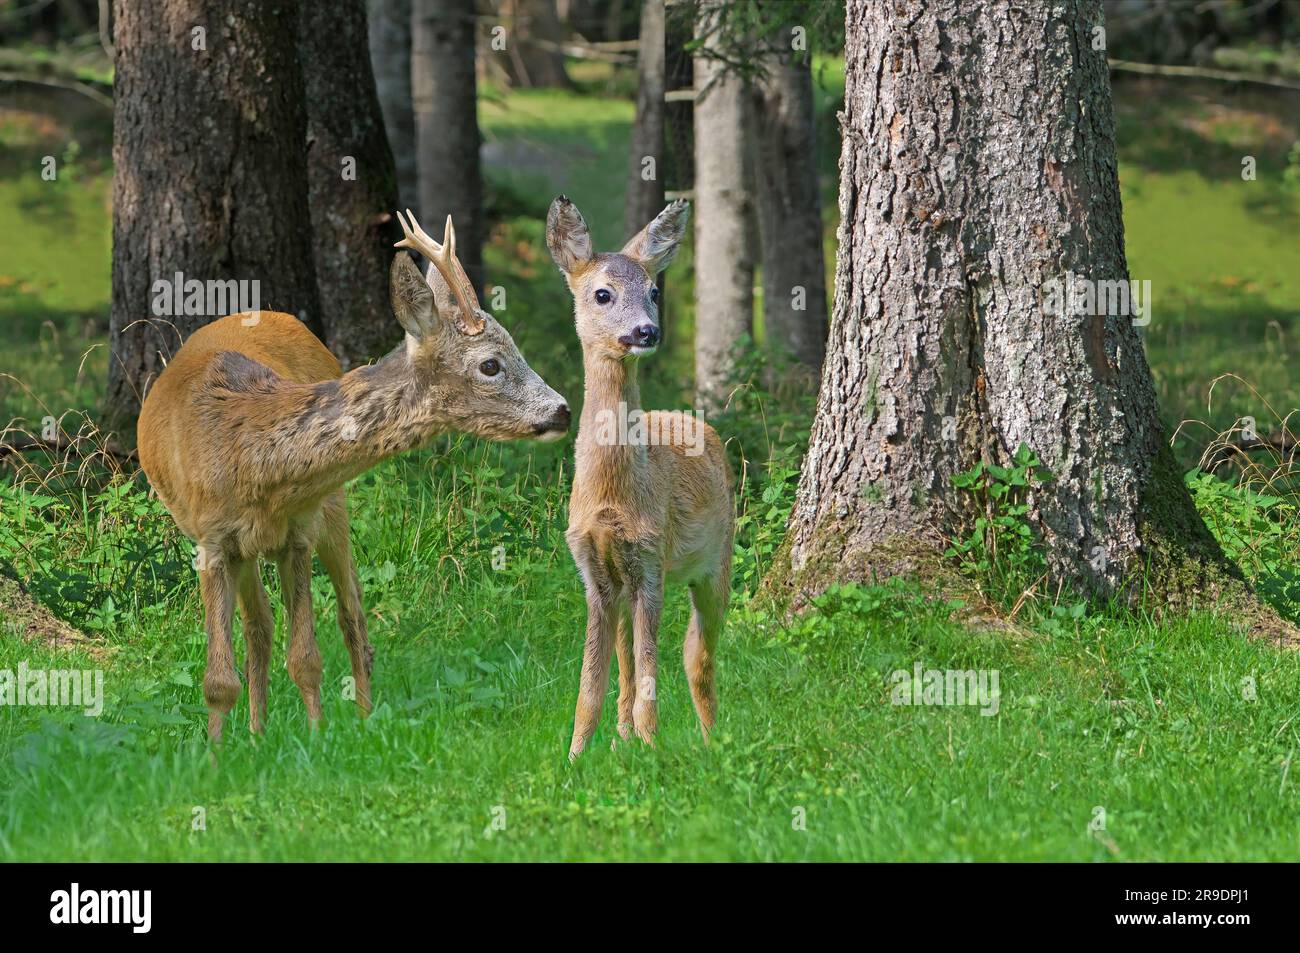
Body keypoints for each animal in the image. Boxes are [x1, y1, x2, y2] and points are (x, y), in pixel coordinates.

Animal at [137, 211, 570, 742]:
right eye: (490, 364)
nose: (563, 410)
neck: (251, 461)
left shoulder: (298, 530)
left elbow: (305, 658)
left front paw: (318, 738)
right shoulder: (212, 540)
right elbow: (219, 679)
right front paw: (216, 753)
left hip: (333, 505)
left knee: (353, 617)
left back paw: (359, 720)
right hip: (248, 546)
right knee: (260, 626)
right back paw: (258, 733)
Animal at [545, 196, 734, 760]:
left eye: (654, 291)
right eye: (602, 293)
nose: (647, 332)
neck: (612, 497)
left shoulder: (652, 557)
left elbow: (653, 668)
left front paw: (654, 749)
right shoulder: (591, 568)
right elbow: (591, 681)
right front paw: (575, 755)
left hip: (716, 560)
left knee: (698, 655)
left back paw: (710, 739)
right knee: (630, 661)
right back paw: (622, 738)